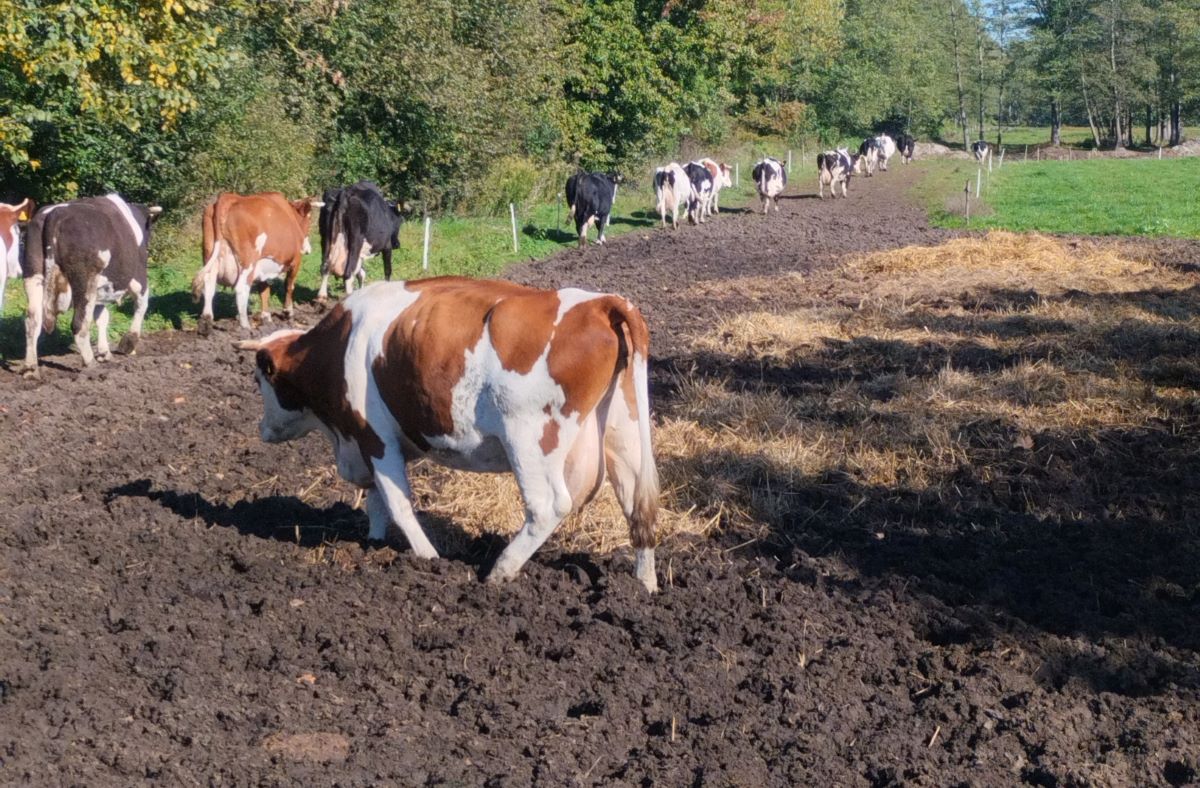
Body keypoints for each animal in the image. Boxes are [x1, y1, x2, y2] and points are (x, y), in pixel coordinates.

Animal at [21, 191, 160, 374]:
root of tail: (56, 212)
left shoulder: (100, 289)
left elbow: (102, 317)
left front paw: (105, 352)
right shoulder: (138, 278)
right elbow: (142, 305)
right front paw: (128, 343)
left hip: (34, 275)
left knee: (32, 321)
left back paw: (30, 368)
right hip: (84, 280)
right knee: (79, 324)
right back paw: (90, 363)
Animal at [189, 195, 319, 335]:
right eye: (309, 218)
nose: (308, 249)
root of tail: (229, 197)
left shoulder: (263, 268)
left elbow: (264, 291)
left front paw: (266, 317)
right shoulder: (296, 261)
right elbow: (289, 286)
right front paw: (288, 312)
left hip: (210, 255)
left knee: (209, 284)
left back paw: (206, 322)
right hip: (248, 261)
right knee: (241, 288)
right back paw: (245, 325)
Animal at [237, 277, 662, 590]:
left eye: (259, 379)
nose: (262, 430)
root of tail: (600, 302)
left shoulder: (374, 437)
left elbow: (398, 503)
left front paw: (428, 559)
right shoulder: (368, 443)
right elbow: (376, 500)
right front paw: (374, 543)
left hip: (529, 440)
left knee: (549, 507)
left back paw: (499, 571)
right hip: (622, 434)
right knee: (637, 506)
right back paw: (644, 585)